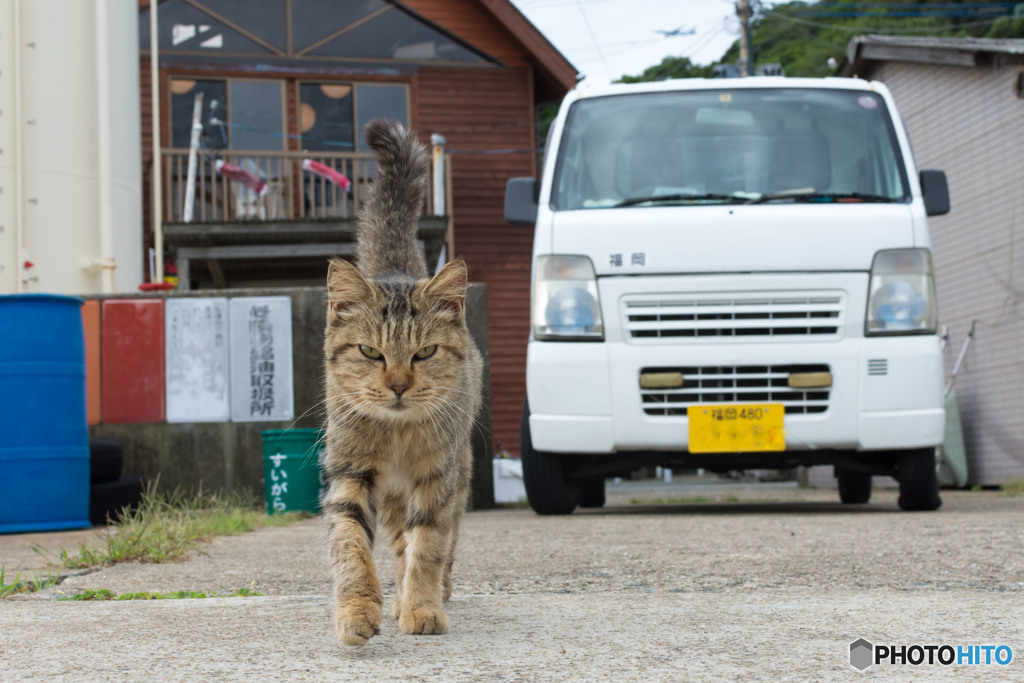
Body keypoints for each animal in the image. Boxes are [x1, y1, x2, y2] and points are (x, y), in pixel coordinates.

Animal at [321, 118, 481, 647]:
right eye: (371, 352)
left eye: (424, 352)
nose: (397, 385)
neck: (395, 436)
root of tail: (399, 269)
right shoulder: (349, 473)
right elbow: (351, 547)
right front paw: (357, 610)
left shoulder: (436, 479)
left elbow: (428, 545)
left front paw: (423, 607)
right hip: (391, 496)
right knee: (395, 538)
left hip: (459, 471)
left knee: (442, 539)